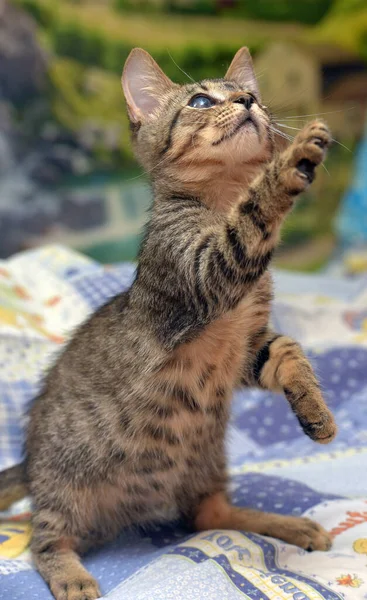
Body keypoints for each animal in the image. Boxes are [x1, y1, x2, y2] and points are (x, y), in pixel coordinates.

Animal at [0, 48, 338, 600]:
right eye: (201, 101)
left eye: (254, 95)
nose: (248, 102)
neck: (221, 199)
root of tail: (31, 465)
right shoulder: (203, 270)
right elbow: (253, 214)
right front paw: (291, 162)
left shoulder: (246, 349)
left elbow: (289, 352)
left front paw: (315, 411)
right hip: (64, 492)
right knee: (44, 542)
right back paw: (72, 577)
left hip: (205, 467)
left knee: (210, 516)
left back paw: (285, 524)